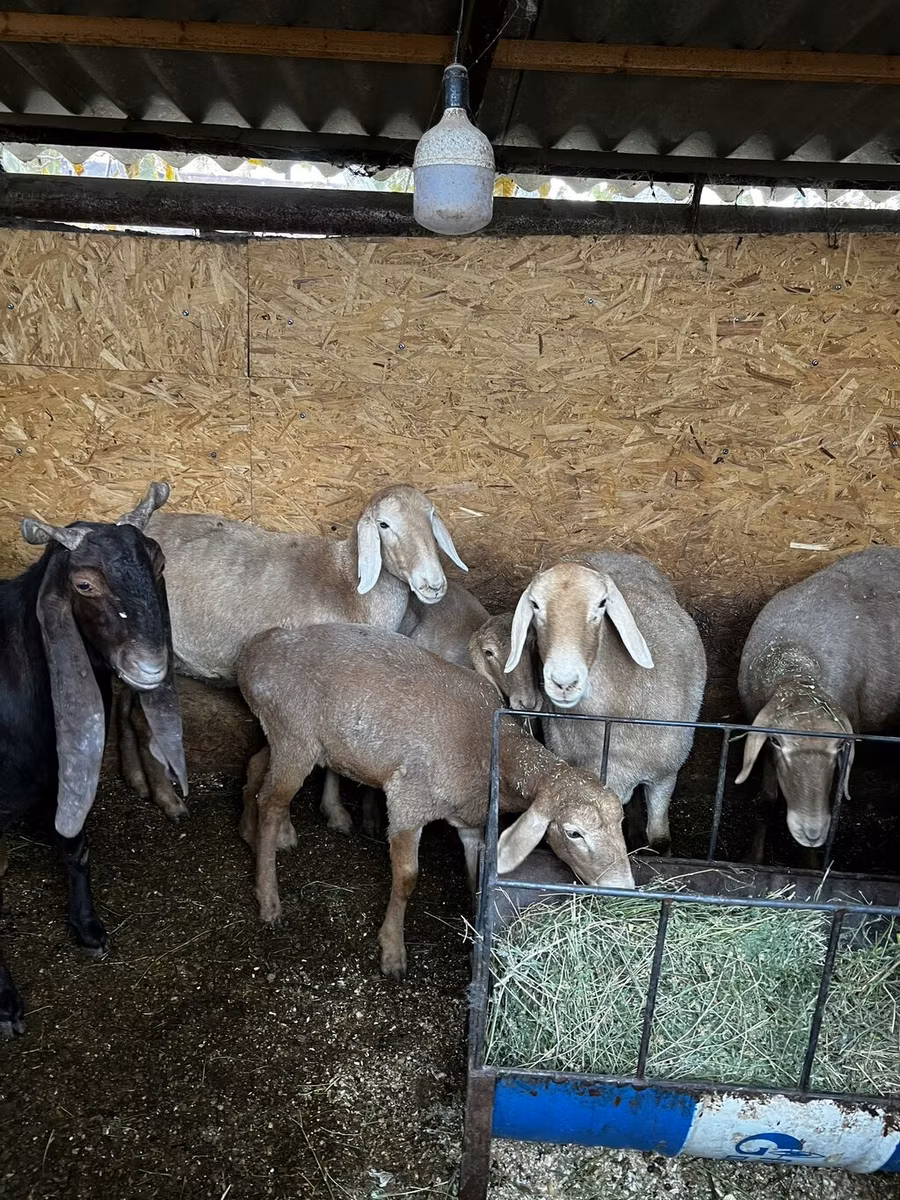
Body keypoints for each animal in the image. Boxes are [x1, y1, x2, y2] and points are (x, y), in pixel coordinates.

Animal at [0, 484, 186, 1037]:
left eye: (159, 562)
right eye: (83, 584)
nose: (151, 667)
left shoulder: (70, 764)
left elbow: (75, 844)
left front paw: (87, 928)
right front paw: (6, 1004)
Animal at [117, 484, 467, 831]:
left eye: (431, 517)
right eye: (384, 525)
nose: (433, 585)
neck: (348, 589)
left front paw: (334, 811)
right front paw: (312, 817)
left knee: (122, 710)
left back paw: (138, 781)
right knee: (141, 721)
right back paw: (168, 799)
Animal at [236, 623, 634, 979]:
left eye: (620, 820)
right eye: (573, 832)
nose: (624, 890)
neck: (492, 748)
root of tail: (253, 651)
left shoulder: (471, 820)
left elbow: (474, 871)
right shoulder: (407, 803)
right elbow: (407, 878)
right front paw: (392, 951)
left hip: (284, 735)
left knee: (255, 768)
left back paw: (250, 835)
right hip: (295, 736)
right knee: (271, 802)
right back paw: (268, 897)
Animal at [504, 553, 707, 855]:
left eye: (601, 603)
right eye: (535, 604)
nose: (564, 682)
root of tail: (619, 553)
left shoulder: (665, 776)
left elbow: (660, 839)